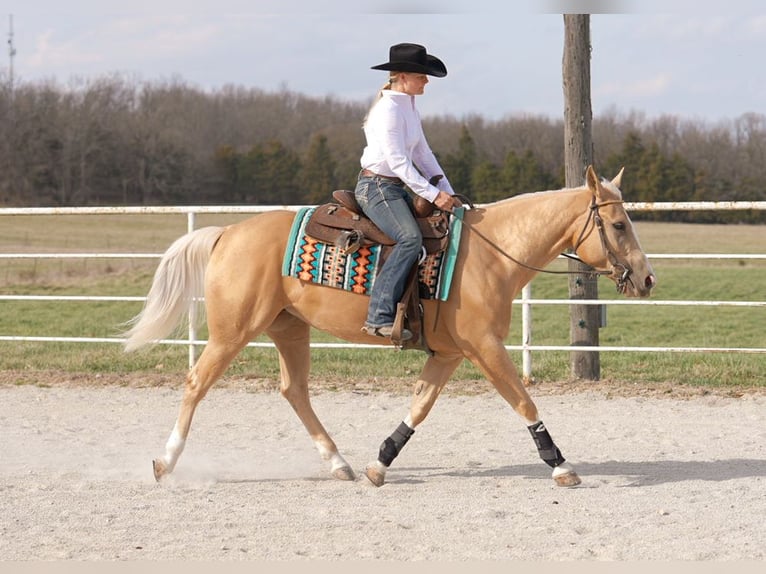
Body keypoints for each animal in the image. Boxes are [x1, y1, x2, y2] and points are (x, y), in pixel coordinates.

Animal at [123, 166, 656, 490]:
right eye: (619, 224)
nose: (647, 278)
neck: (492, 254)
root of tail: (227, 233)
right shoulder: (485, 347)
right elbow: (523, 401)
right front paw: (561, 464)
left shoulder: (450, 354)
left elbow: (419, 407)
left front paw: (379, 464)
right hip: (233, 331)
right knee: (197, 382)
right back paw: (165, 462)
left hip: (289, 329)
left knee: (294, 391)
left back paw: (338, 463)